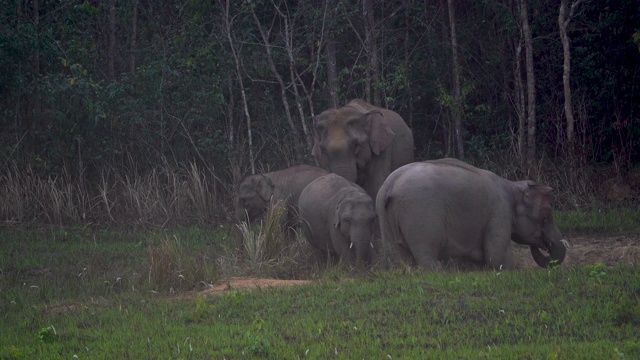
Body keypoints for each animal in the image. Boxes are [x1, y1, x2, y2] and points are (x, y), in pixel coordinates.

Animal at [378, 159, 568, 272]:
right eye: (546, 216)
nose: (542, 244)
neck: (513, 186)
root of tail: (388, 186)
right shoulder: (500, 211)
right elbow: (496, 256)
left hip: (387, 219)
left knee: (402, 255)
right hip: (421, 215)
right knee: (426, 254)